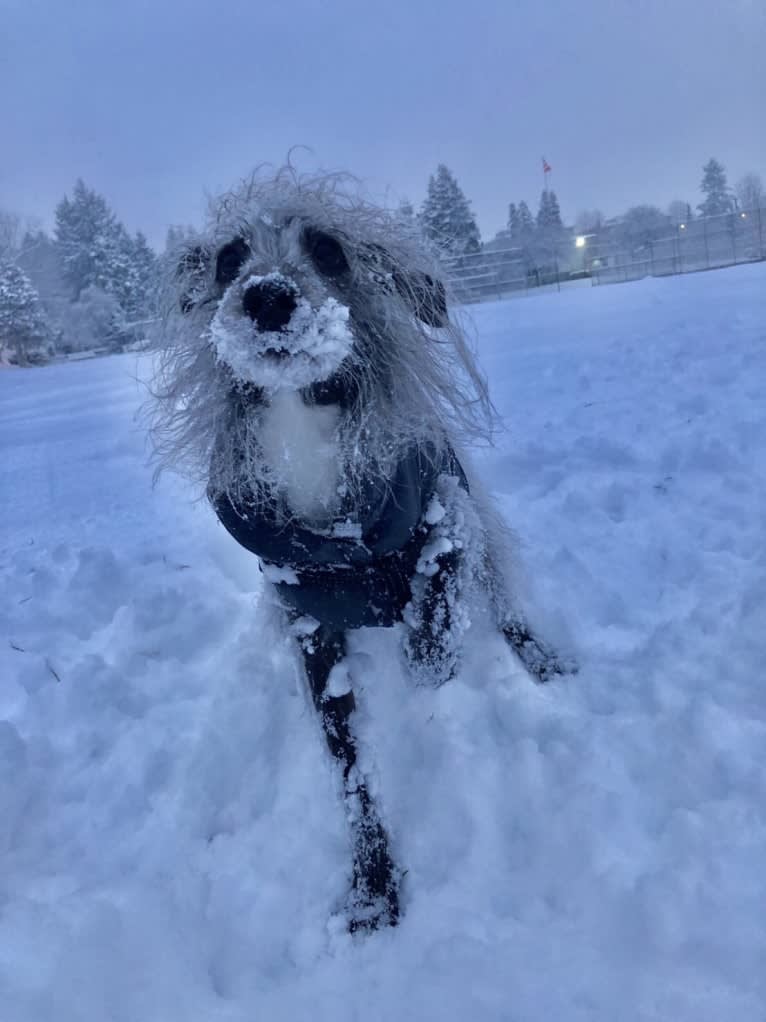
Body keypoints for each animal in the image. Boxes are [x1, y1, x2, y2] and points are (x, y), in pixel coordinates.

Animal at [150, 167, 571, 936]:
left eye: (328, 248)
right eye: (229, 258)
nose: (267, 295)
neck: (303, 429)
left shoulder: (448, 505)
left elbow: (437, 605)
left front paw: (427, 648)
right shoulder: (309, 627)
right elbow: (352, 775)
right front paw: (373, 887)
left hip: (489, 541)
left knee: (504, 605)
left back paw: (543, 660)